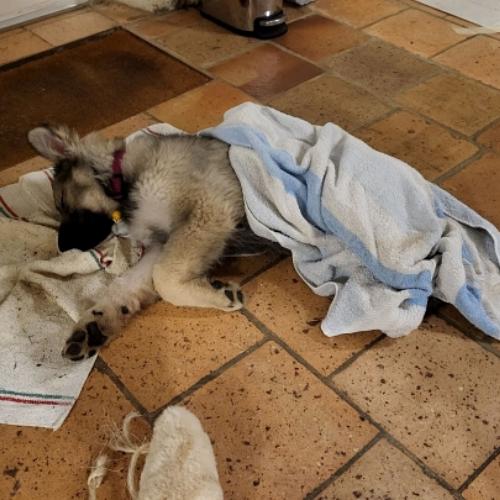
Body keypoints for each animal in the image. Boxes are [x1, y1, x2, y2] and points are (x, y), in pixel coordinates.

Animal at [28, 124, 273, 361]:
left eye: (62, 202)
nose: (61, 248)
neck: (123, 174)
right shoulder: (163, 244)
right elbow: (127, 283)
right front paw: (95, 324)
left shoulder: (206, 212)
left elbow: (164, 278)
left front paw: (217, 294)